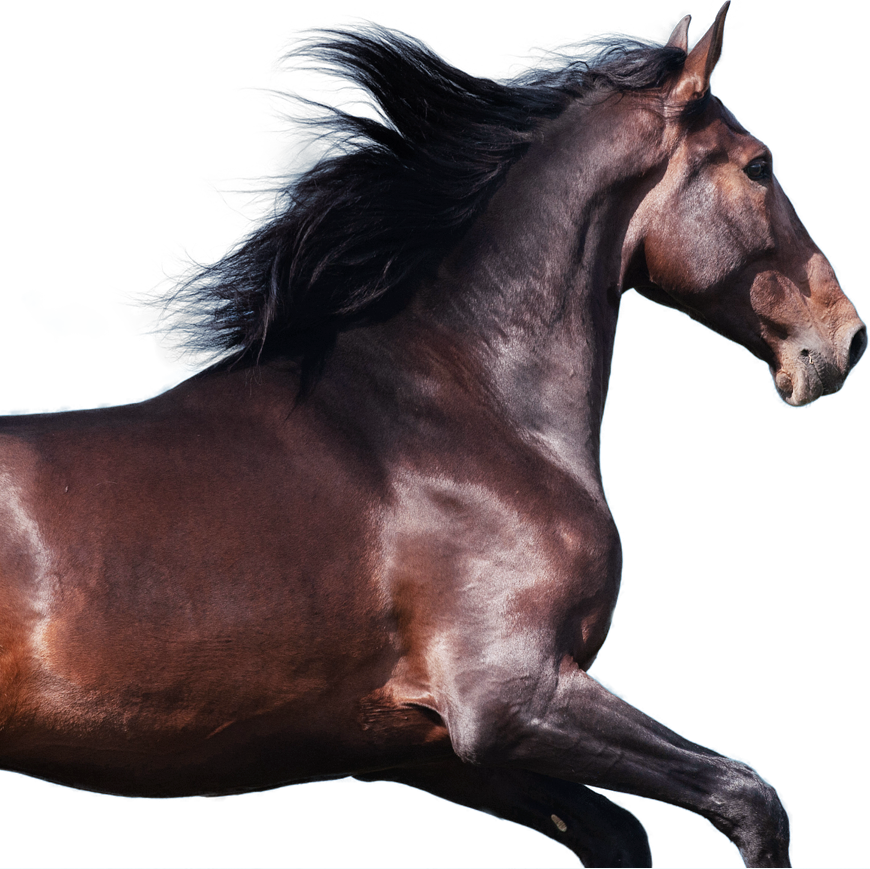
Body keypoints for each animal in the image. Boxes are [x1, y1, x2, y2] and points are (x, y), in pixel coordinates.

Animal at [0, 3, 864, 866]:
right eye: (759, 166)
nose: (844, 338)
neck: (475, 409)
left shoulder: (425, 744)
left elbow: (618, 830)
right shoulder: (511, 697)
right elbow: (751, 798)